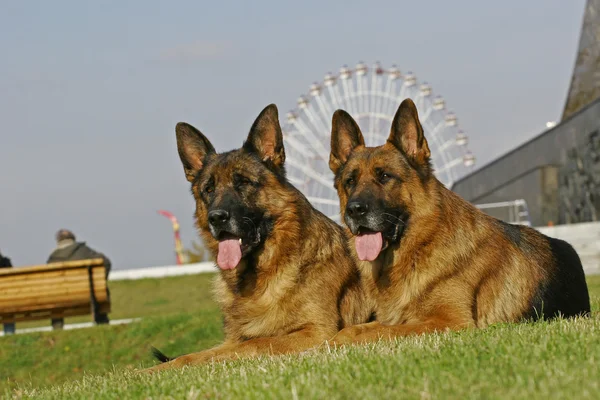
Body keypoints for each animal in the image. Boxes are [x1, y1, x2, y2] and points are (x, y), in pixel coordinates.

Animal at [144, 104, 370, 372]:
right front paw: (150, 370)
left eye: (243, 183)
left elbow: (253, 344)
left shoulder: (317, 332)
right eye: (208, 190)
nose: (216, 218)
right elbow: (190, 356)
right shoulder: (231, 339)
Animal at [326, 99, 588, 344]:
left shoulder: (449, 322)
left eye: (384, 176)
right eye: (350, 181)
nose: (354, 210)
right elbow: (354, 329)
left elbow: (378, 332)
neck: (422, 245)